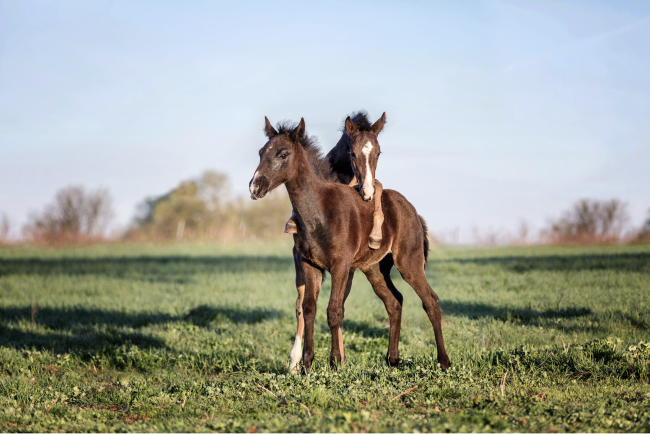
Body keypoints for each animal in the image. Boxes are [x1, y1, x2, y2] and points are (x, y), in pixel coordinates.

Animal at [249, 118, 450, 372]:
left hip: (409, 263)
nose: (254, 187)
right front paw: (306, 365)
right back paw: (392, 360)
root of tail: (413, 210)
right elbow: (309, 308)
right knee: (394, 302)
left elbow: (334, 310)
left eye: (283, 154)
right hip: (374, 269)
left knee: (431, 301)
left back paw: (444, 361)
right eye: (260, 152)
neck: (320, 212)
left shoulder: (341, 265)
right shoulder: (310, 265)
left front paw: (335, 362)